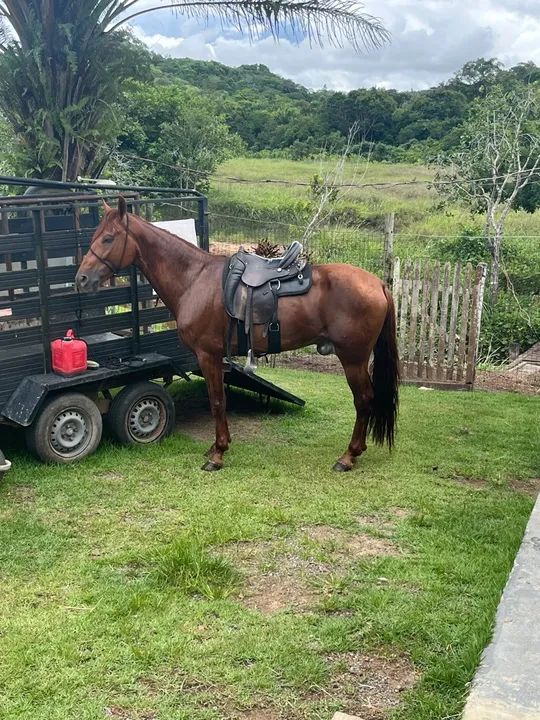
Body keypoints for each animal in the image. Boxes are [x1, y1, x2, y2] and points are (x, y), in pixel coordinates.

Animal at [75, 197, 399, 472]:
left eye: (108, 238)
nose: (81, 279)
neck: (194, 279)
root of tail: (378, 283)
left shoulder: (208, 355)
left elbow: (217, 401)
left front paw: (217, 454)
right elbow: (217, 400)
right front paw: (217, 447)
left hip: (353, 359)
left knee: (364, 400)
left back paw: (348, 456)